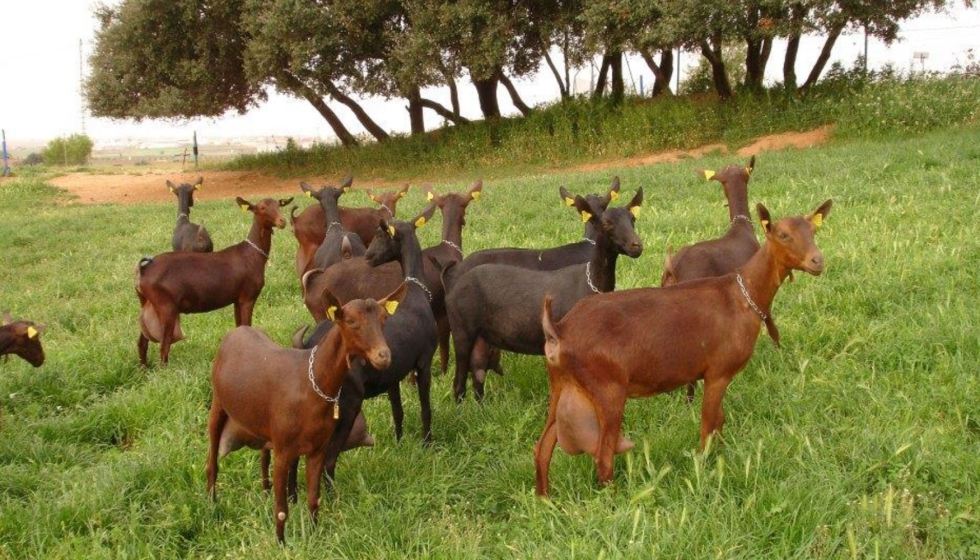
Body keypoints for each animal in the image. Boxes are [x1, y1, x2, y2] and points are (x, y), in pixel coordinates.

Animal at [135, 196, 292, 366]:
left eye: (279, 204)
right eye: (262, 208)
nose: (282, 221)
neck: (252, 255)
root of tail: (143, 270)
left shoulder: (237, 299)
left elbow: (239, 326)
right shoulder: (248, 296)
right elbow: (246, 325)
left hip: (147, 304)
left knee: (142, 342)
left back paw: (144, 368)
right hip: (166, 307)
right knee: (164, 347)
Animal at [207, 285, 407, 544]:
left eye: (383, 319)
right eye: (350, 321)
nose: (383, 356)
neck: (310, 385)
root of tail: (235, 333)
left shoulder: (317, 449)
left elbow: (314, 498)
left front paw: (313, 536)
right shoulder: (283, 450)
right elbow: (281, 508)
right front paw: (281, 543)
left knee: (262, 456)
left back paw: (263, 492)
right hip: (218, 404)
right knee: (211, 460)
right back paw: (212, 503)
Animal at [444, 189, 644, 403]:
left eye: (633, 218)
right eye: (607, 223)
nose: (637, 246)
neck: (589, 282)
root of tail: (452, 281)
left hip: (482, 337)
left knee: (478, 374)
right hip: (462, 331)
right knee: (459, 382)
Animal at [535, 200, 833, 496]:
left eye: (813, 232)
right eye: (783, 235)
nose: (817, 261)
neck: (743, 296)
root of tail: (559, 330)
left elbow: (719, 421)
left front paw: (720, 457)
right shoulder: (718, 373)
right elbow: (708, 424)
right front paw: (705, 468)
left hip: (562, 384)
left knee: (543, 447)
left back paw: (544, 499)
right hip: (608, 389)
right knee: (603, 455)